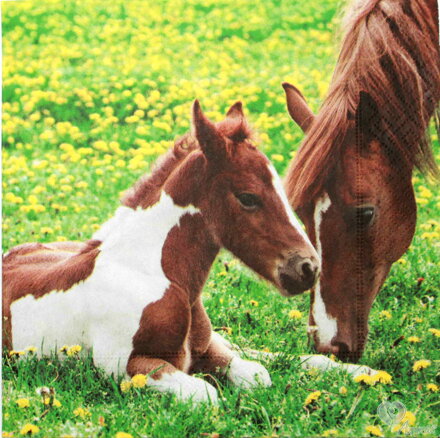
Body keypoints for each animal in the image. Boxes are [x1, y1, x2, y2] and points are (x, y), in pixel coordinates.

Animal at [3, 102, 320, 404]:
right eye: (248, 197)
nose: (308, 268)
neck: (154, 274)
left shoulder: (206, 348)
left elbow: (256, 375)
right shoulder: (124, 366)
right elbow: (206, 394)